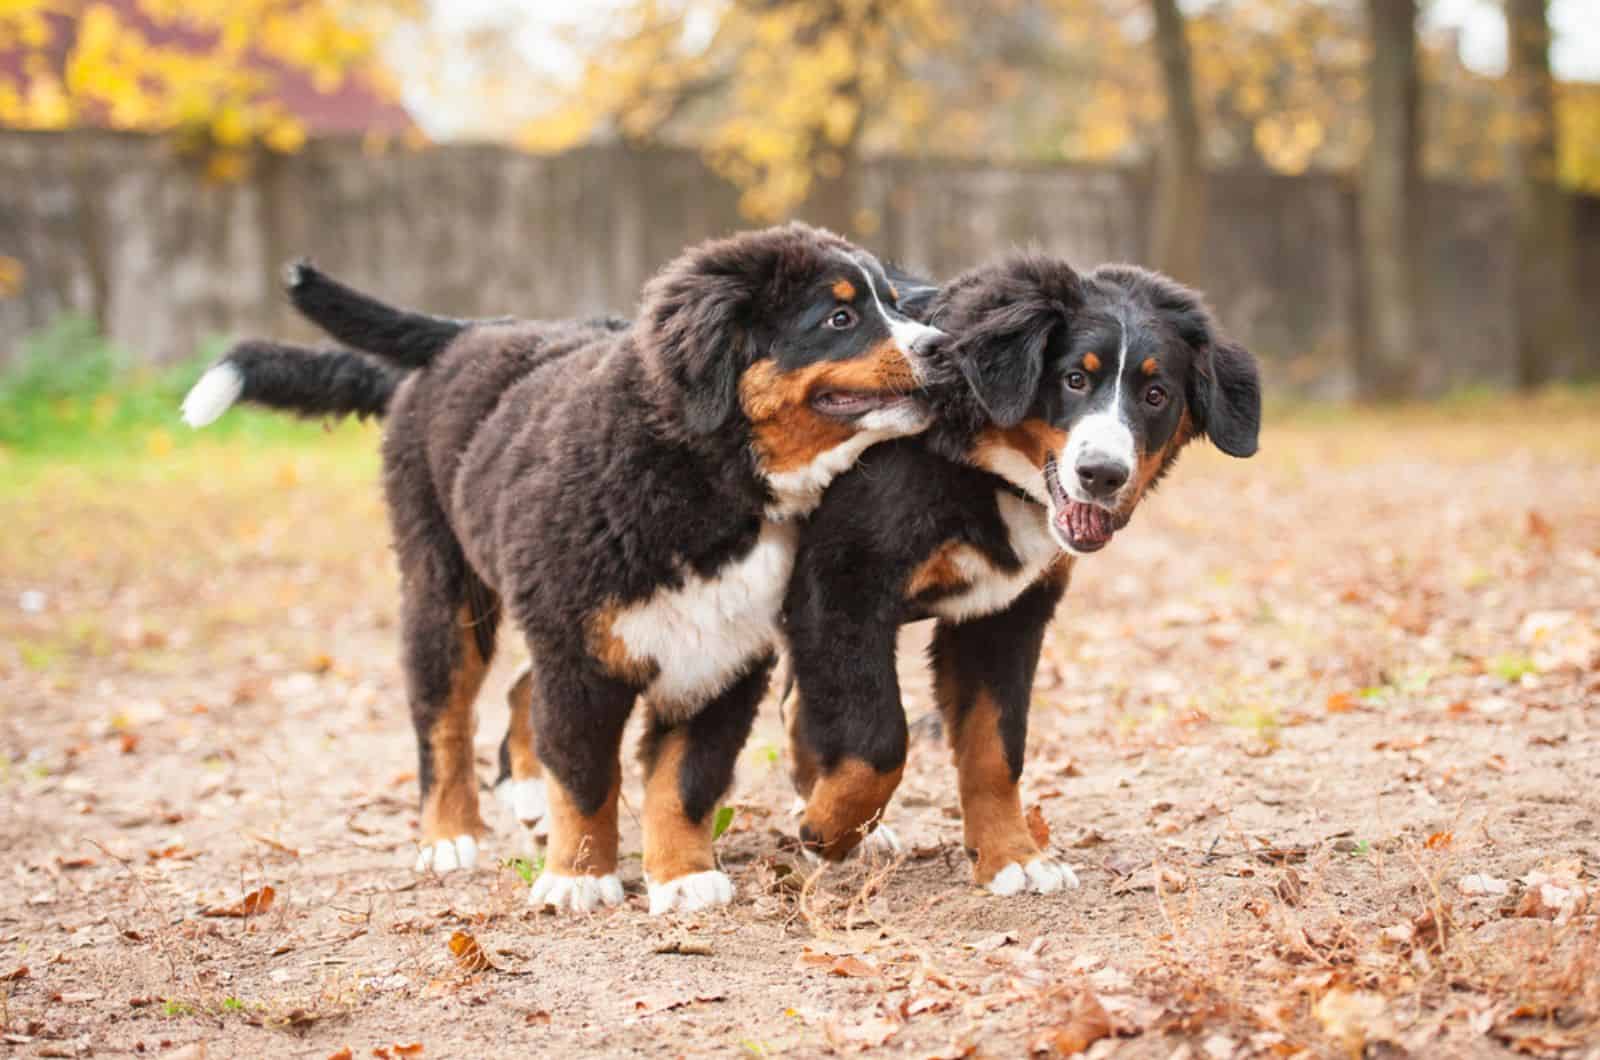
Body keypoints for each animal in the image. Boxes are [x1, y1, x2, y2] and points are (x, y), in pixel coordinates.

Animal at [181, 222, 940, 915]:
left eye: (895, 303)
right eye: (839, 317)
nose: (937, 345)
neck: (707, 480)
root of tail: (470, 333)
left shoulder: (719, 655)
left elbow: (685, 779)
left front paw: (683, 875)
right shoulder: (580, 656)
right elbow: (585, 773)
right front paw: (578, 877)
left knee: (522, 690)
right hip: (446, 593)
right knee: (443, 721)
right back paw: (449, 836)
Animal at [777, 256, 1260, 896]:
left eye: (1156, 395)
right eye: (1074, 380)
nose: (1102, 474)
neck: (985, 466)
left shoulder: (1003, 616)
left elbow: (995, 747)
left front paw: (1012, 856)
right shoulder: (842, 583)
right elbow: (879, 736)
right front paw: (829, 830)